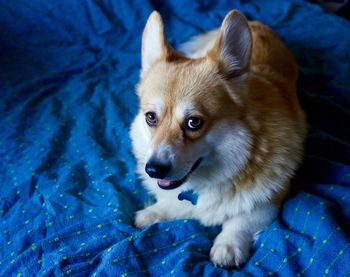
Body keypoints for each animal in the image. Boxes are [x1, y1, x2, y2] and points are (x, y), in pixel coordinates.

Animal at [129, 9, 306, 266]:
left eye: (194, 122)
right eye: (151, 118)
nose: (153, 170)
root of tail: (255, 23)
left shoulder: (270, 201)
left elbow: (241, 220)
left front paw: (228, 246)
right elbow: (172, 203)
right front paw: (153, 213)